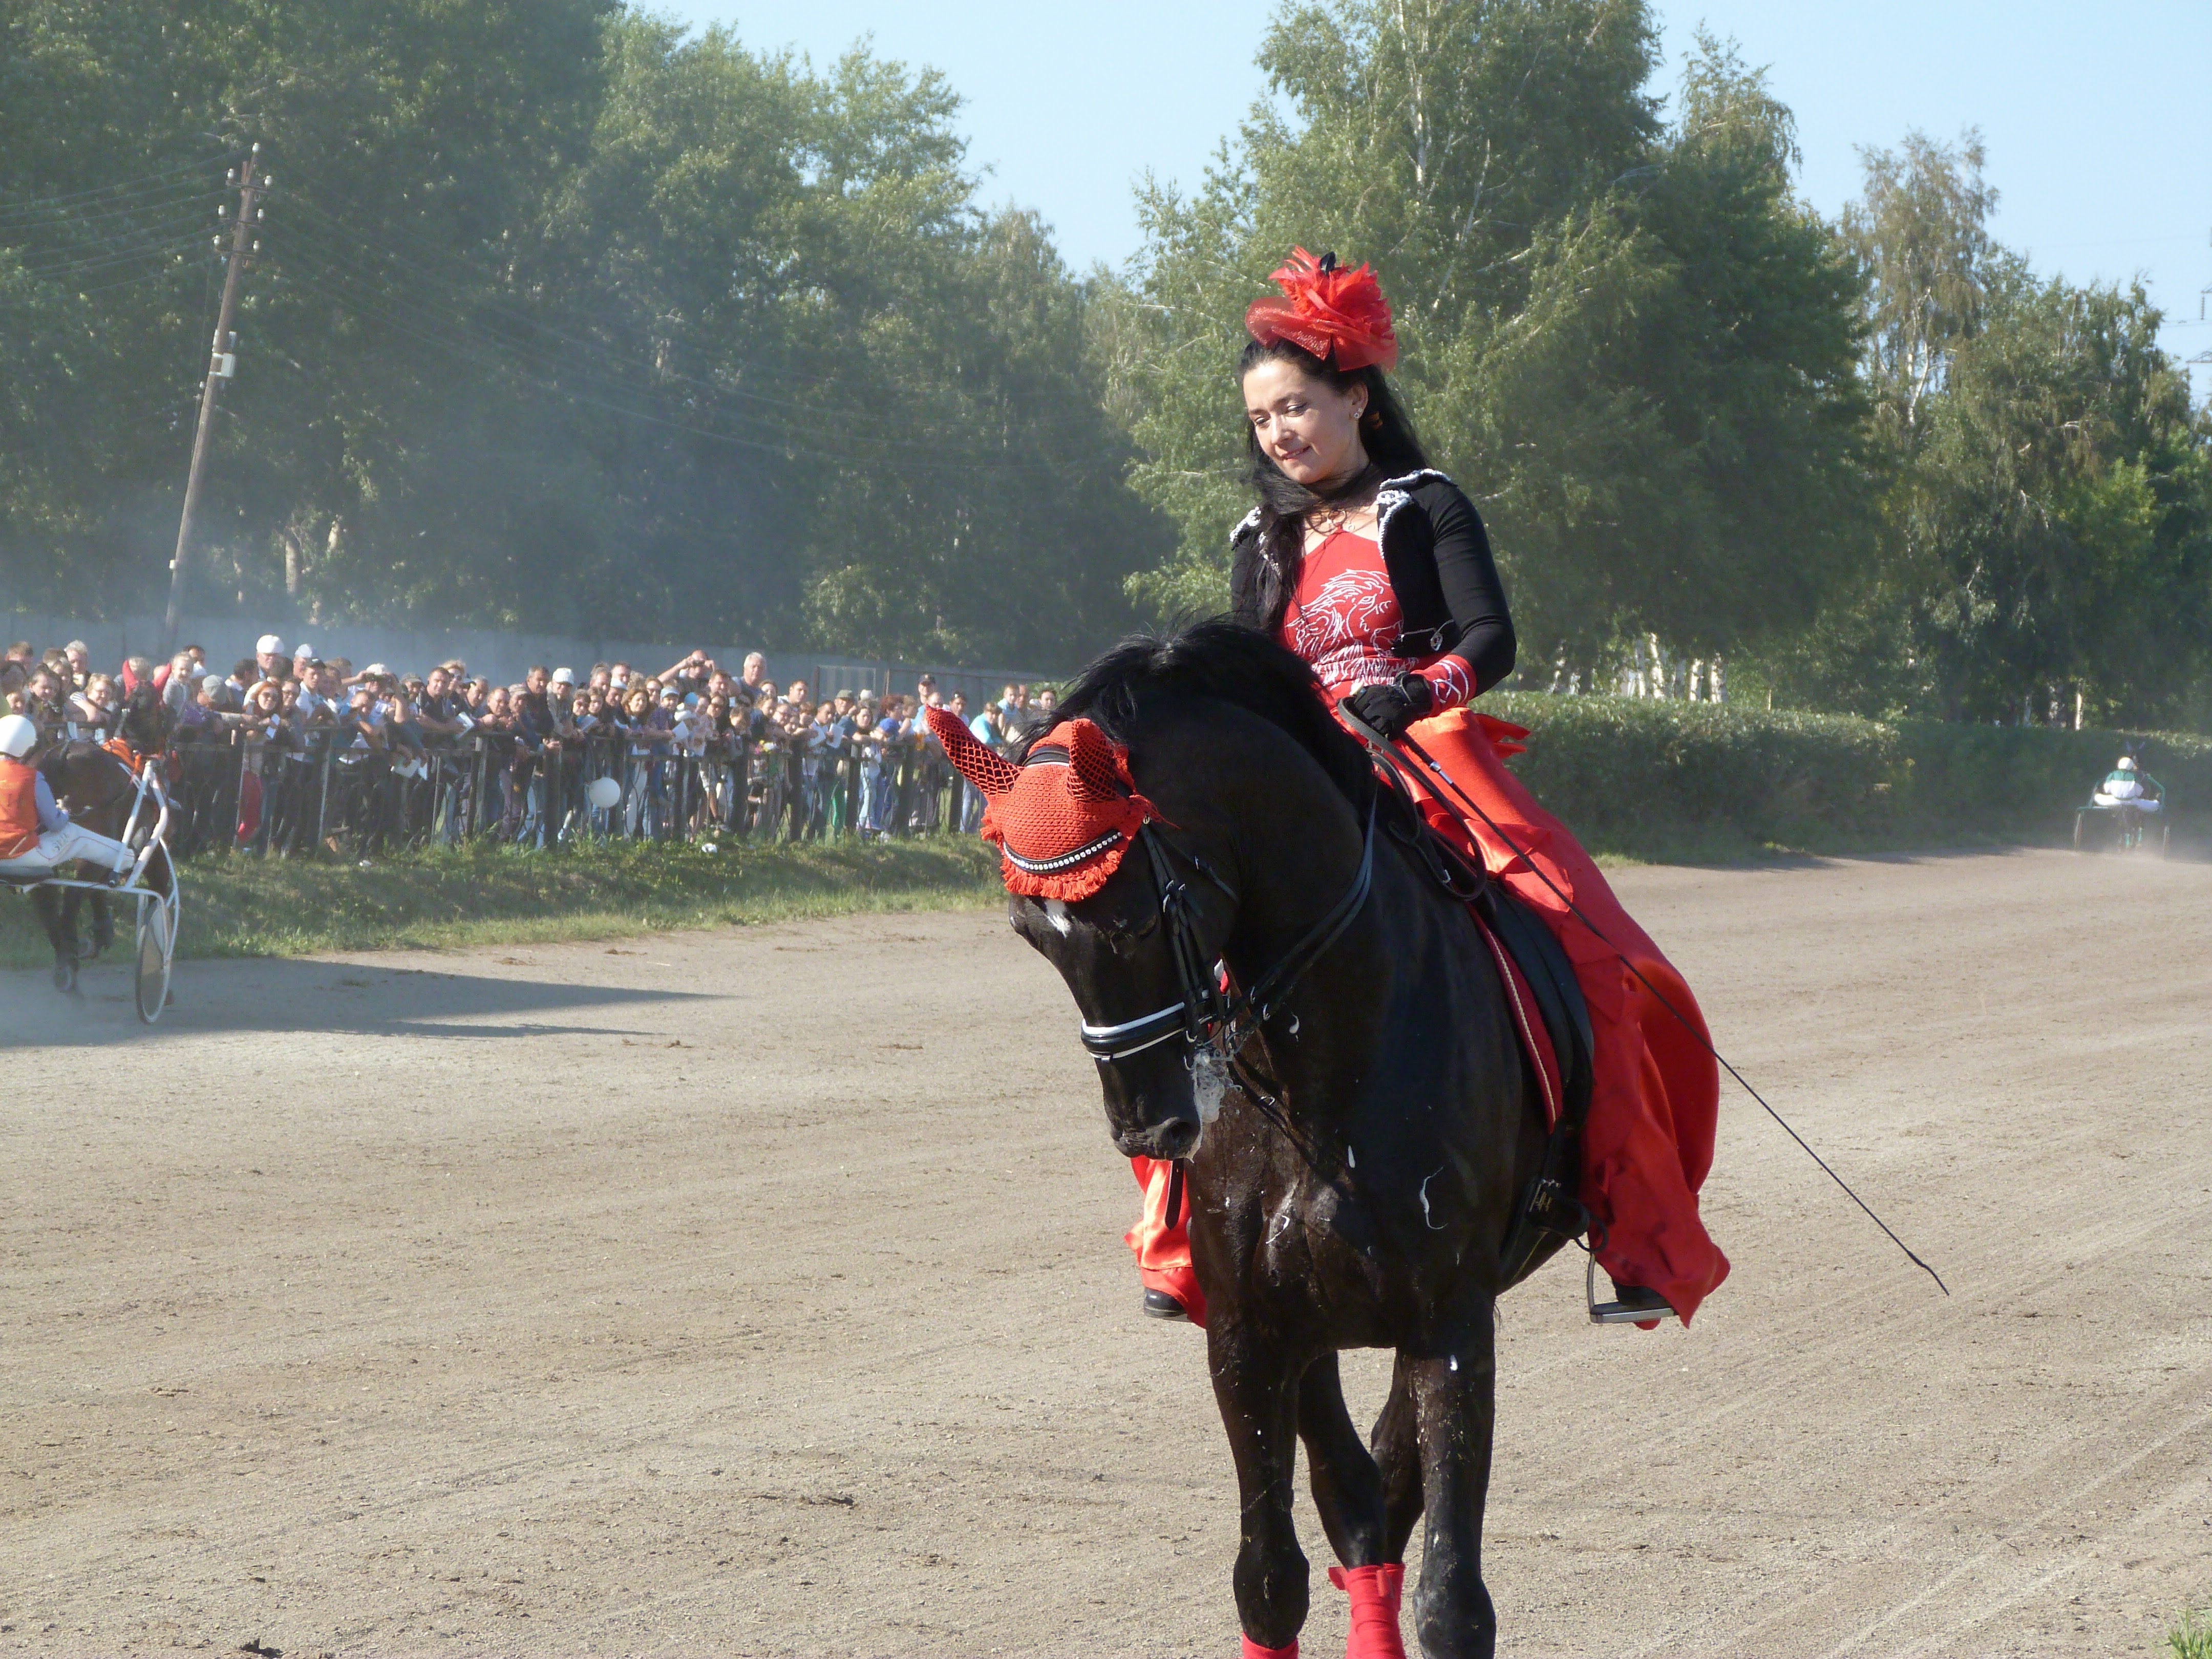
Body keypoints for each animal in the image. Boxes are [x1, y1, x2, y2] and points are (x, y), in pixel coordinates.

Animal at [996, 621, 1574, 1659]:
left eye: (1137, 914)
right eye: (1033, 932)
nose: (1147, 1123)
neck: (1329, 1079)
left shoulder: (1452, 1321)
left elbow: (1450, 1598)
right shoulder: (1251, 1330)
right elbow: (1271, 1578)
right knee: (1357, 1493)